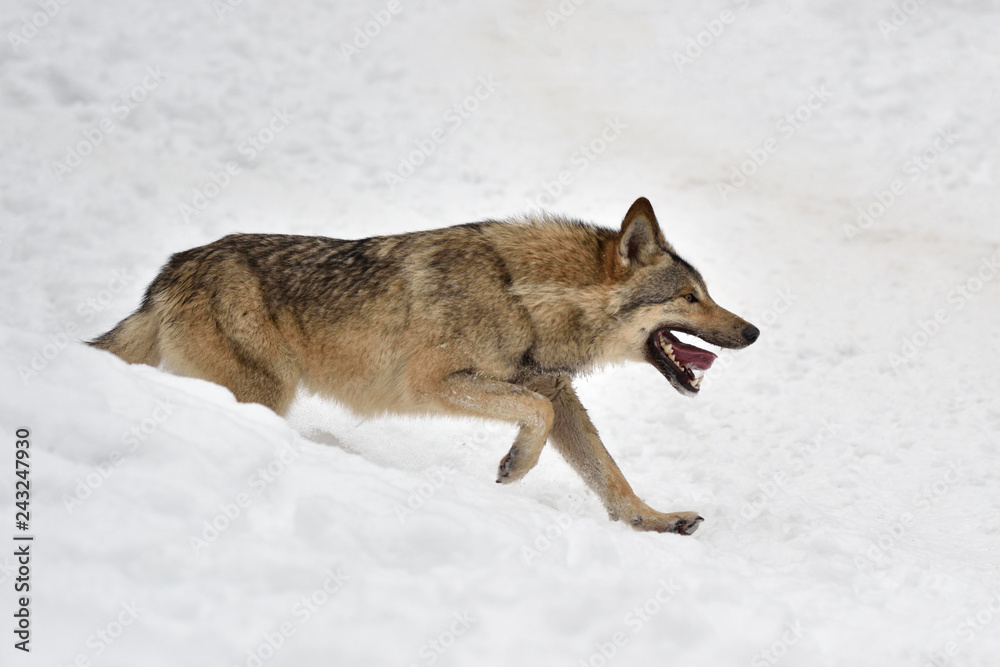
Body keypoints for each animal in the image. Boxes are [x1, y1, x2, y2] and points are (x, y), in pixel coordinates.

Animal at [90, 197, 758, 534]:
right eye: (690, 298)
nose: (753, 332)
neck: (523, 295)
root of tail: (170, 271)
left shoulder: (557, 392)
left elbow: (609, 475)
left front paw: (655, 521)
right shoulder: (436, 383)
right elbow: (534, 417)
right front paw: (514, 468)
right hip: (261, 392)